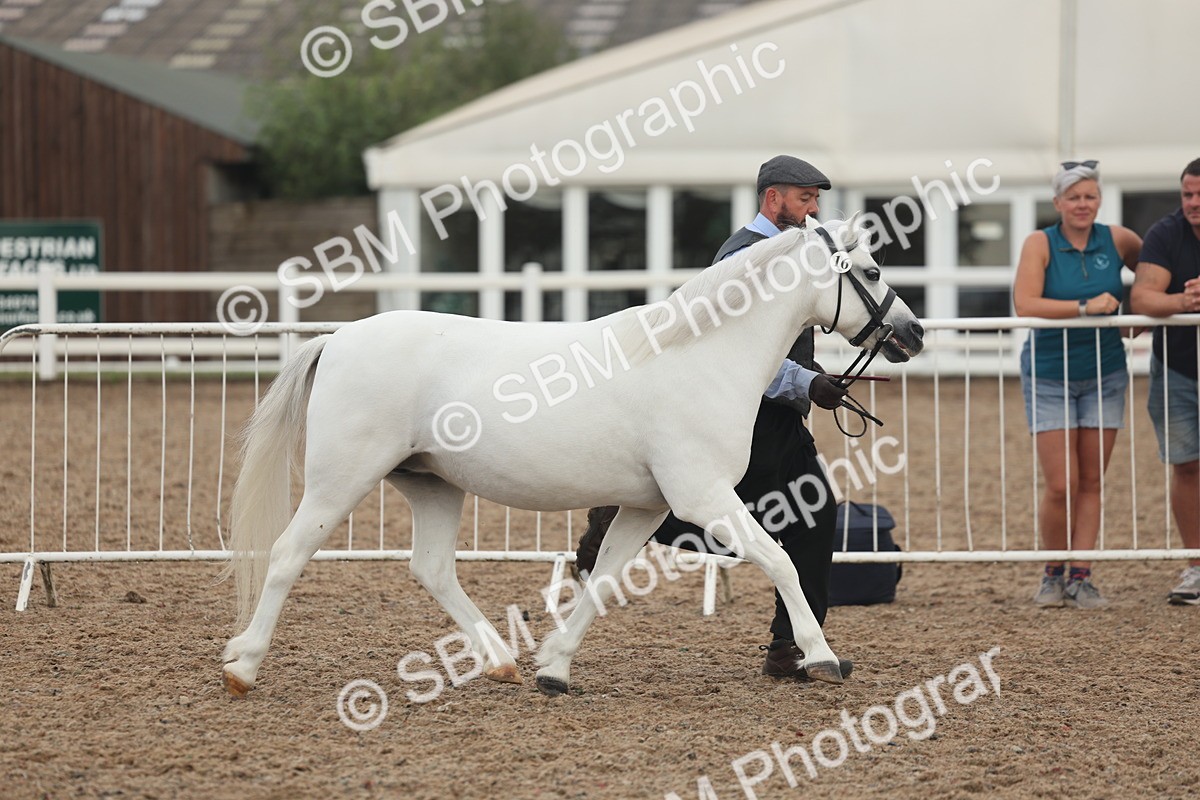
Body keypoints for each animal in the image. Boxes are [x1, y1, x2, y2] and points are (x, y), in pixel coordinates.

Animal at [221, 214, 925, 697]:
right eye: (870, 272)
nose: (913, 334)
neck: (698, 356)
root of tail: (336, 340)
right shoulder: (704, 497)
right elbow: (781, 560)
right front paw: (822, 656)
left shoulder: (647, 507)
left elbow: (604, 576)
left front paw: (554, 668)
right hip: (341, 480)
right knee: (287, 555)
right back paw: (243, 666)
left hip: (432, 484)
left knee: (432, 569)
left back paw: (501, 662)